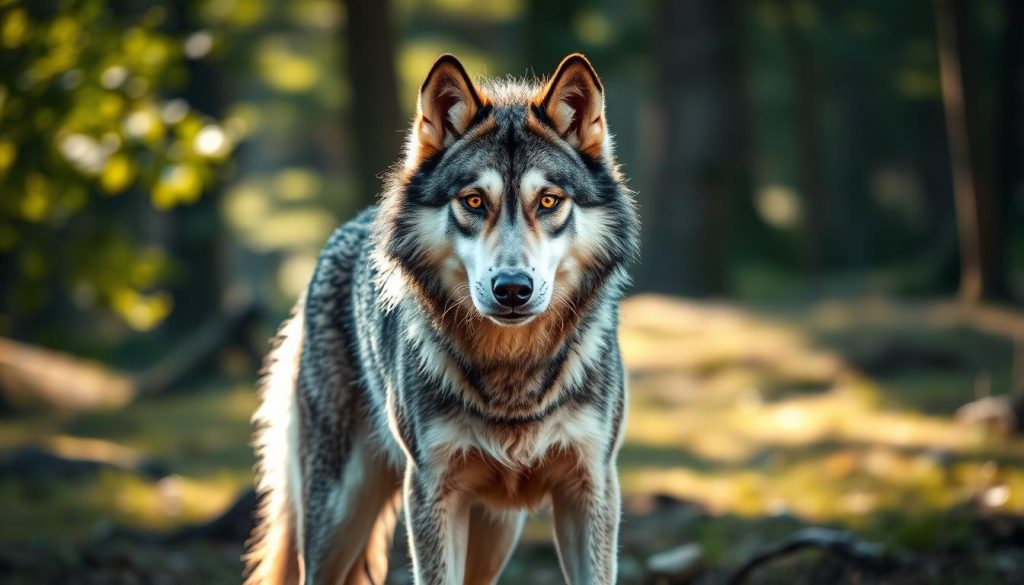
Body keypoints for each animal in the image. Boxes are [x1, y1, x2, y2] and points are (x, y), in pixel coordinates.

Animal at [245, 53, 640, 585]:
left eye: (549, 201)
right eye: (473, 201)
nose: (512, 289)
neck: (512, 377)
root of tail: (344, 230)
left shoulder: (591, 486)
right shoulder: (430, 491)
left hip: (496, 533)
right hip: (337, 514)